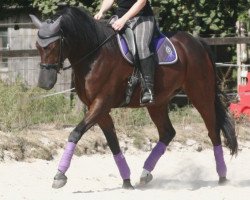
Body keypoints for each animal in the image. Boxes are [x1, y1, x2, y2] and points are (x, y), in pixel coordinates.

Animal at [29, 7, 238, 190]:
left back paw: (222, 176)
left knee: (213, 131)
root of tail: (196, 42)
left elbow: (75, 133)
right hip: (157, 102)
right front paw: (127, 181)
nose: (44, 83)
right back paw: (145, 173)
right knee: (168, 132)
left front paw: (59, 175)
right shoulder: (99, 109)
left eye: (54, 45)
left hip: (200, 95)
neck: (95, 55)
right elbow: (113, 142)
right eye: (38, 46)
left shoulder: (101, 104)